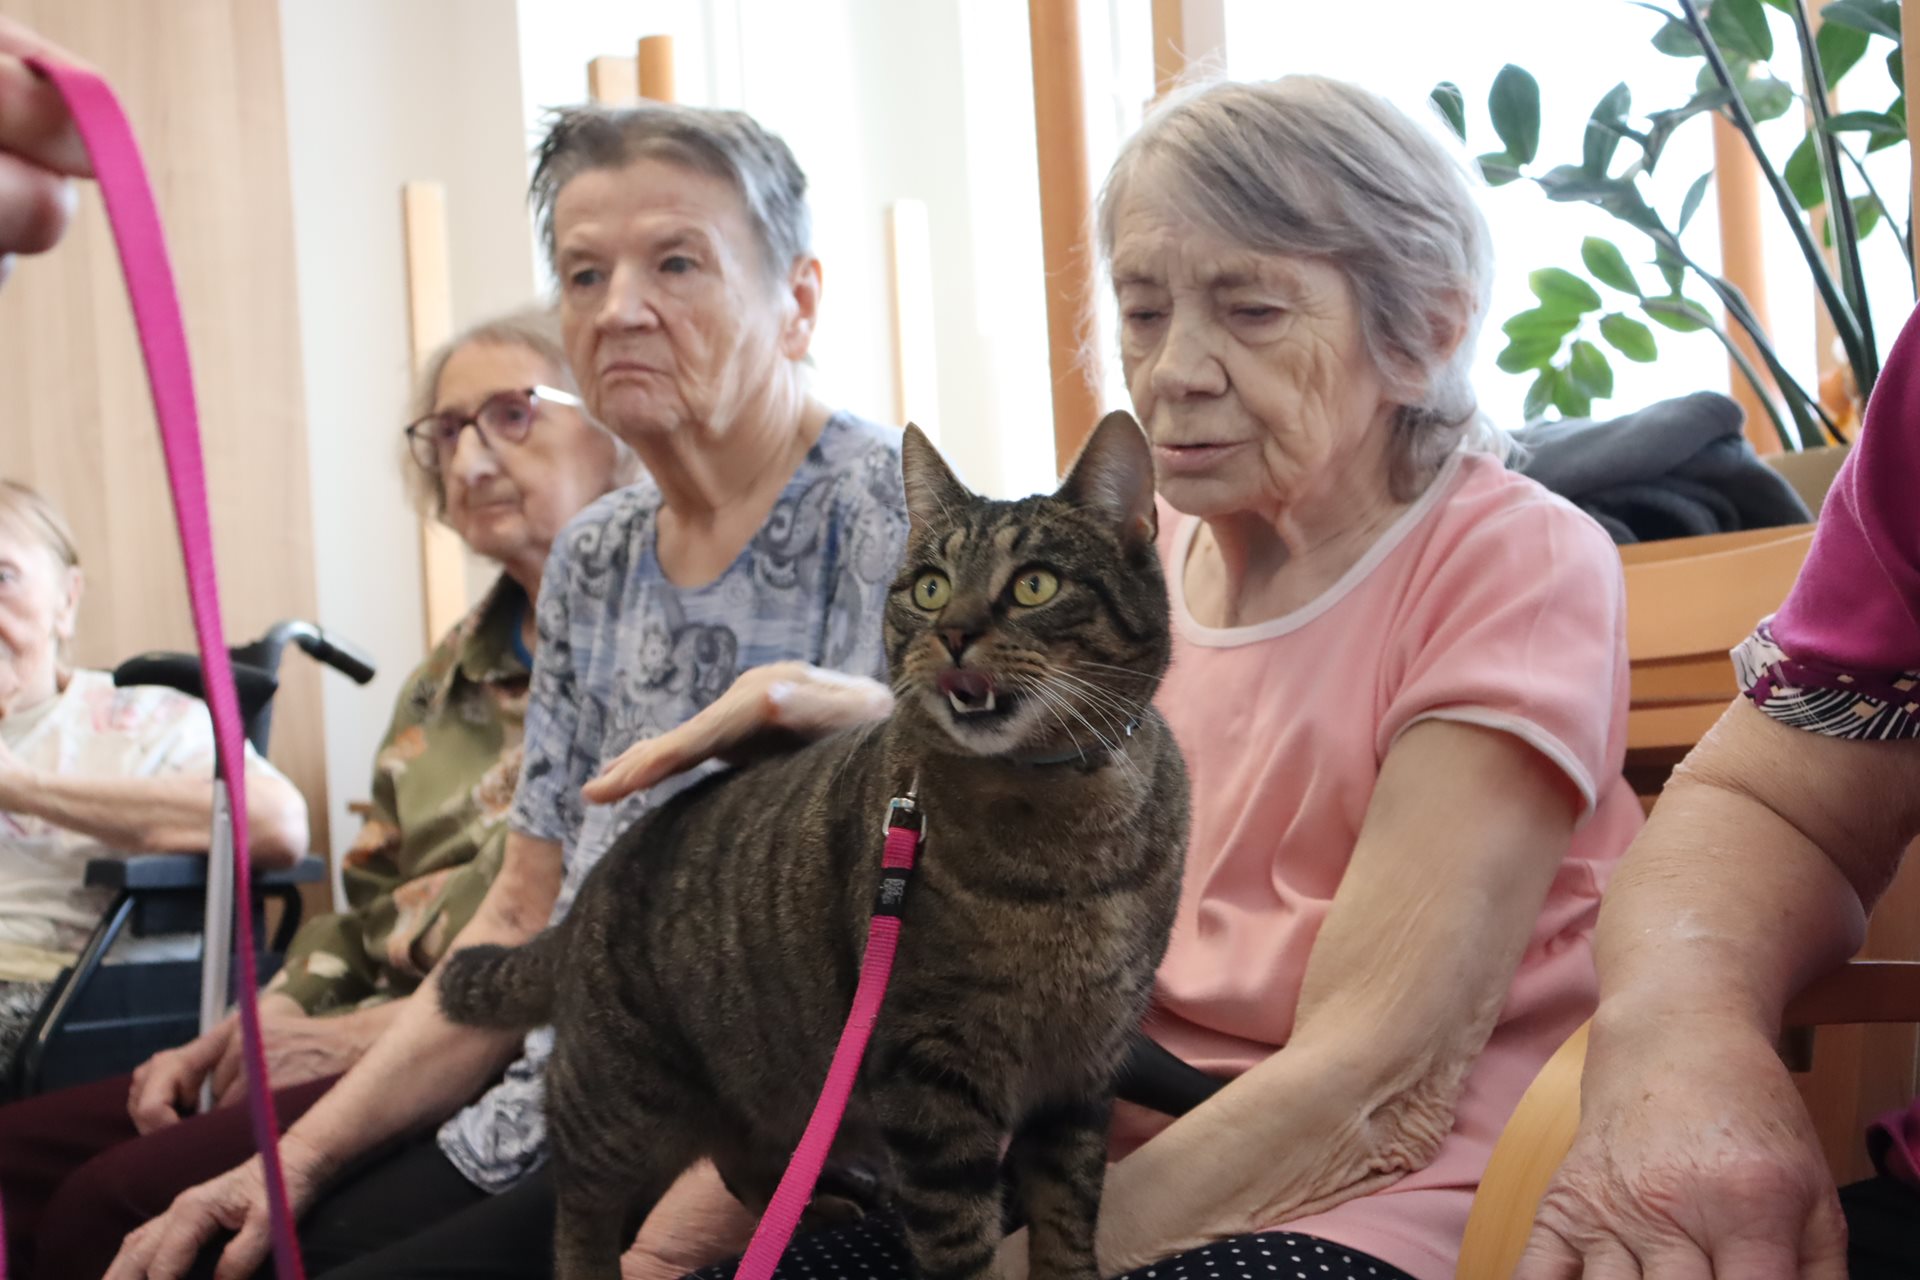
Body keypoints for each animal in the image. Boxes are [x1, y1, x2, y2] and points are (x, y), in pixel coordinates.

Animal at [438, 411, 1190, 1280]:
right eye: (930, 587)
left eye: (1035, 584)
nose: (953, 632)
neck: (1068, 824)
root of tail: (590, 889)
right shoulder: (927, 1076)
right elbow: (960, 1237)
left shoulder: (1083, 1067)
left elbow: (1067, 1217)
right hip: (617, 1106)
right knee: (579, 1213)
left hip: (765, 1088)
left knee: (743, 1159)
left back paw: (811, 1206)